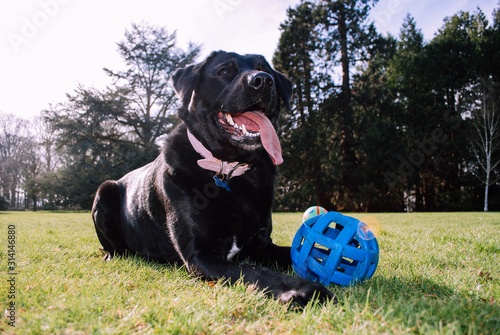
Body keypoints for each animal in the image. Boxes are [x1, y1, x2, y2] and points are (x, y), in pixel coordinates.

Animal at [92, 50, 334, 308]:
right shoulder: (201, 255)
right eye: (224, 70)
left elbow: (301, 254)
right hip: (104, 190)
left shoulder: (262, 246)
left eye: (265, 69)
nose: (263, 80)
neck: (229, 170)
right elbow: (254, 270)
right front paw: (303, 289)